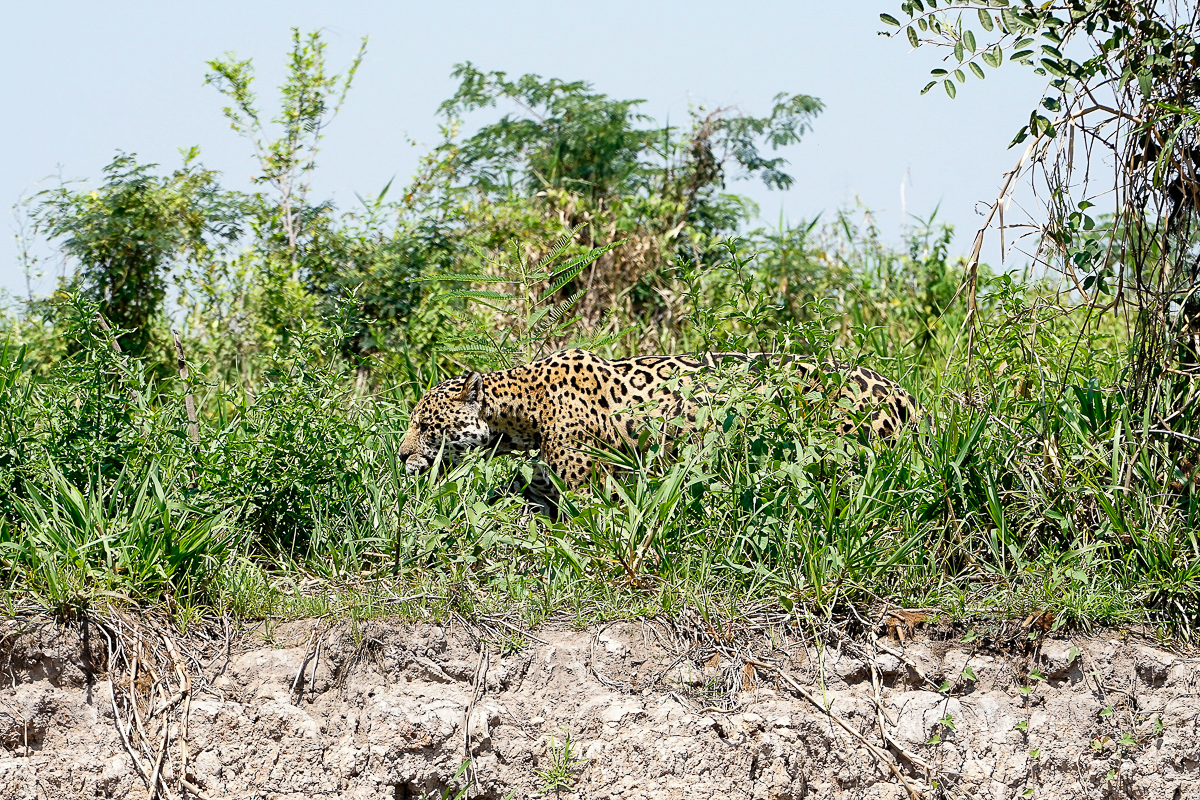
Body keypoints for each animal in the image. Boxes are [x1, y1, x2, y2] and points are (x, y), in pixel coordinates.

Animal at [398, 348, 920, 508]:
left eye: (425, 425)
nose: (401, 455)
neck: (523, 411)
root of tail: (901, 390)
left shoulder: (585, 487)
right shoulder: (547, 482)